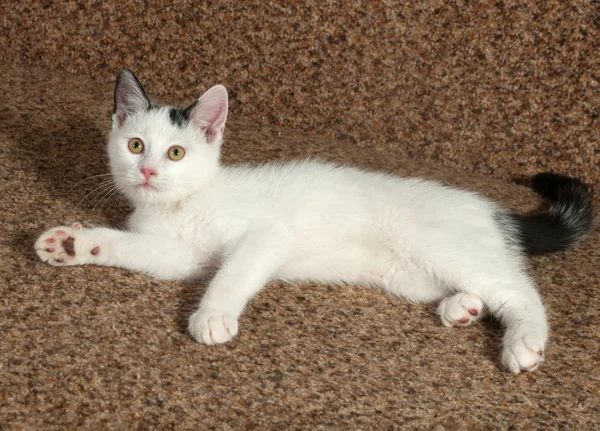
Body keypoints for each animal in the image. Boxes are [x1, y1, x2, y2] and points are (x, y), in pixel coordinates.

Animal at [35, 69, 592, 372]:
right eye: (135, 145)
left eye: (175, 152)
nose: (148, 171)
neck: (185, 203)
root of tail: (489, 208)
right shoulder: (176, 255)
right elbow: (138, 251)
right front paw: (73, 245)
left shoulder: (266, 234)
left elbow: (233, 272)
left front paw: (212, 316)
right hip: (407, 274)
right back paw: (463, 308)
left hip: (439, 243)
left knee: (520, 290)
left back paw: (524, 343)